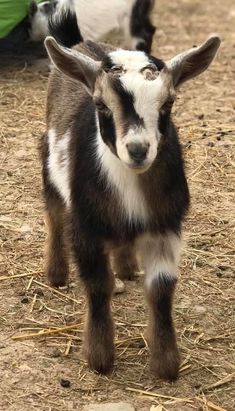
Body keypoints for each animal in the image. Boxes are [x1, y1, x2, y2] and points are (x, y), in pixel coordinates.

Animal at [40, 33, 220, 382]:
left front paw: (166, 364)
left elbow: (161, 288)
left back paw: (125, 267)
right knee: (54, 213)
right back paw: (56, 274)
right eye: (101, 105)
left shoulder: (166, 226)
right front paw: (99, 359)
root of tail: (83, 43)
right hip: (48, 164)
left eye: (168, 103)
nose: (138, 150)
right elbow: (98, 285)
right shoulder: (86, 225)